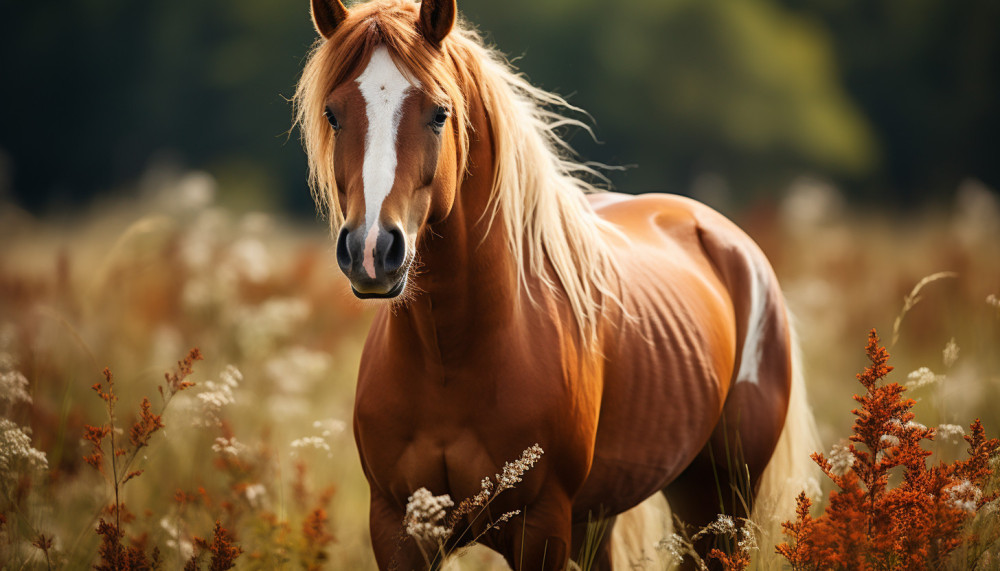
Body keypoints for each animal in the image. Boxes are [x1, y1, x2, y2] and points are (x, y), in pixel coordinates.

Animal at [294, 0, 817, 568]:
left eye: (439, 113)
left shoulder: (540, 525)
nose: (371, 251)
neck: (448, 358)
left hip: (721, 501)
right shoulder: (398, 528)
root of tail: (728, 240)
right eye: (333, 114)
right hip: (610, 512)